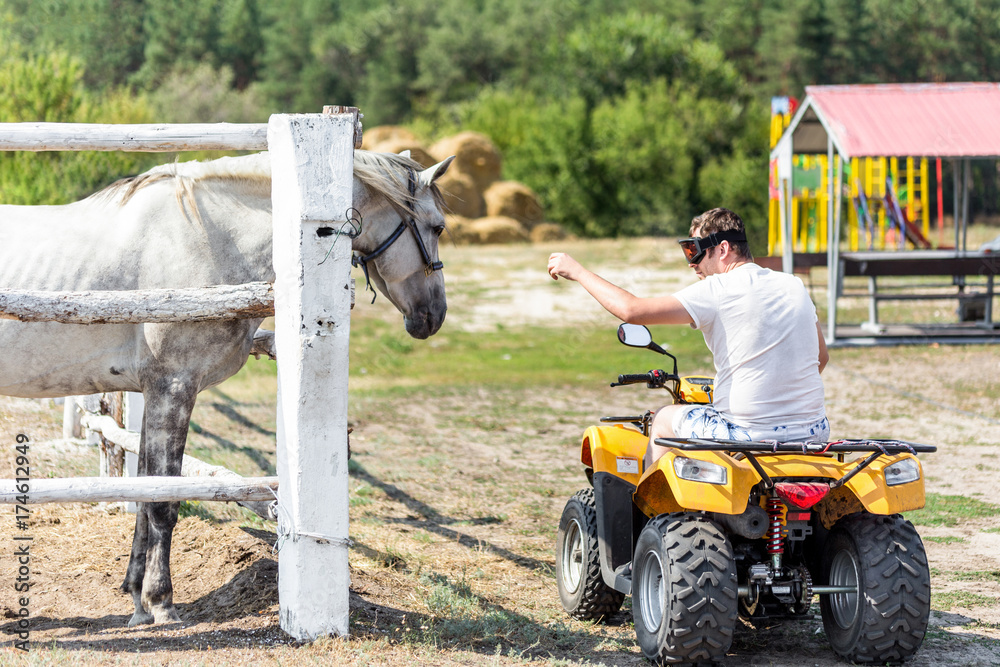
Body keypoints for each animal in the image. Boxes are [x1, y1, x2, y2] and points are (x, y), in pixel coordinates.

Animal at [0, 149, 453, 625]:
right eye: (438, 226)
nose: (434, 314)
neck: (206, 239)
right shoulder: (173, 389)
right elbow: (163, 502)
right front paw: (161, 601)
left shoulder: (154, 393)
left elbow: (144, 492)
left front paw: (137, 598)